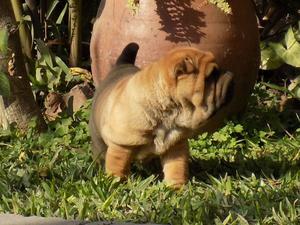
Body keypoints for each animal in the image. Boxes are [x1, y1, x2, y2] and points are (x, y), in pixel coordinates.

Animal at [89, 43, 234, 187]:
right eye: (211, 76)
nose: (230, 75)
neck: (169, 112)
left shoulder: (175, 147)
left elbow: (176, 168)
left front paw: (176, 187)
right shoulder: (122, 146)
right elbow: (118, 168)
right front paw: (116, 184)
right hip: (99, 140)